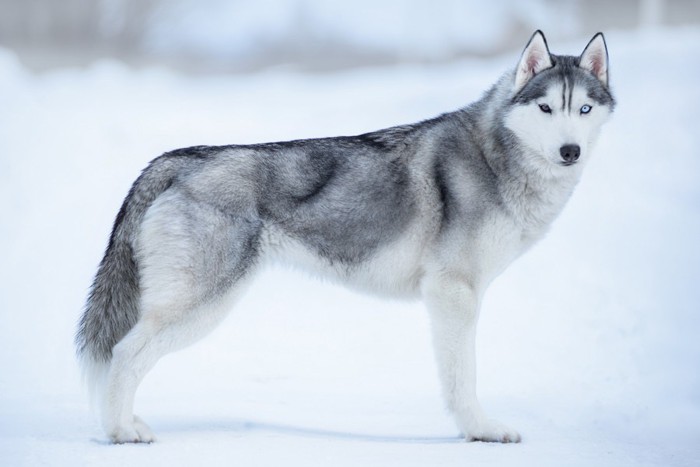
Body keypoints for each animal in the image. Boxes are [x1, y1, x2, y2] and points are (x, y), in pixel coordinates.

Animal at [75, 31, 612, 444]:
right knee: (124, 355)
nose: (570, 151)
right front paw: (480, 430)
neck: (495, 155)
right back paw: (122, 433)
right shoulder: (454, 293)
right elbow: (463, 377)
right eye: (545, 108)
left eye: (584, 108)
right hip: (198, 307)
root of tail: (174, 161)